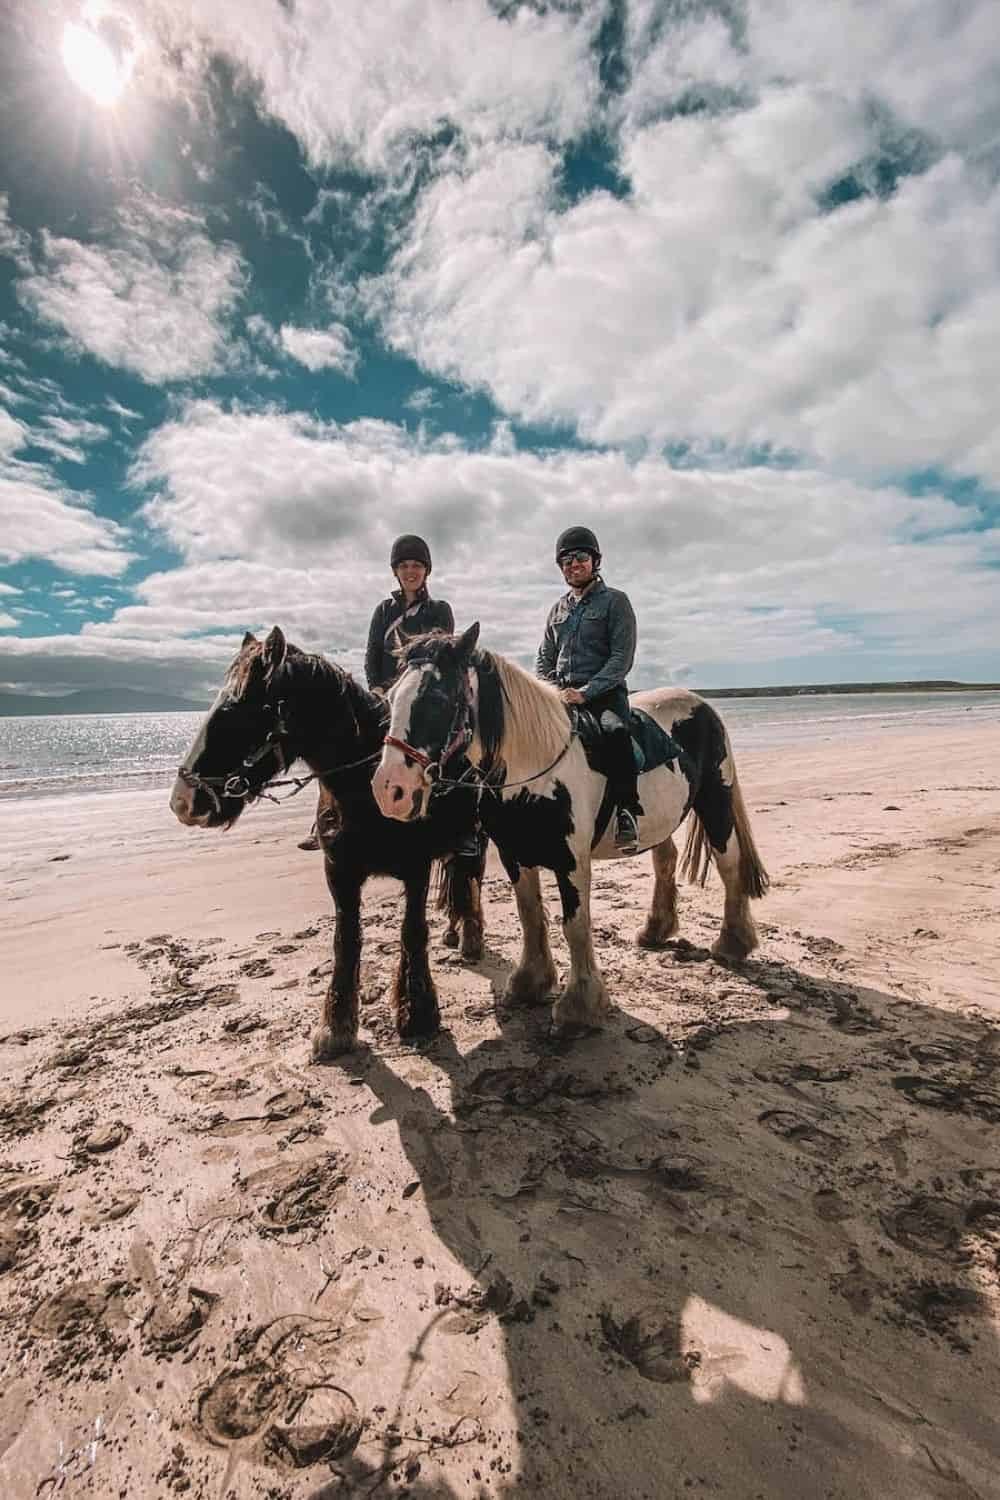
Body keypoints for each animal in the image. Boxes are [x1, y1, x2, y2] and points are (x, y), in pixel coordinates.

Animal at [169, 627, 488, 1062]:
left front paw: (417, 1014)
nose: (183, 800)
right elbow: (346, 940)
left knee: (471, 877)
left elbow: (412, 932)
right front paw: (336, 1027)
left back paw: (471, 935)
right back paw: (454, 931)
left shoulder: (416, 869)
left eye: (239, 710)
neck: (362, 792)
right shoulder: (339, 871)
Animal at [371, 621, 773, 1032]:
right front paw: (530, 983)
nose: (390, 790)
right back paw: (655, 930)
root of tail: (703, 706)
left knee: (729, 864)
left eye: (437, 698)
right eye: (390, 699)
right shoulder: (516, 854)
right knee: (665, 861)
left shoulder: (572, 862)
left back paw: (732, 944)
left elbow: (575, 925)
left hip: (715, 801)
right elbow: (530, 915)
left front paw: (579, 1007)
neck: (536, 767)